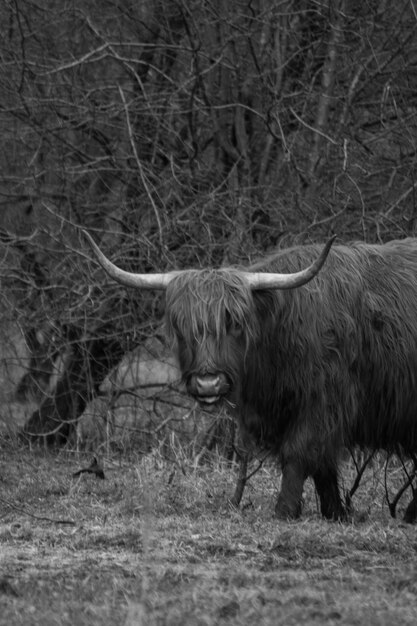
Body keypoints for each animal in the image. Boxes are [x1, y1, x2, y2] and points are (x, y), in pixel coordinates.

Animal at [83, 230, 416, 520]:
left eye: (233, 322)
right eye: (181, 326)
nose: (208, 383)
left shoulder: (324, 401)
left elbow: (299, 453)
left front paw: (285, 510)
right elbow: (322, 466)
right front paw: (335, 513)